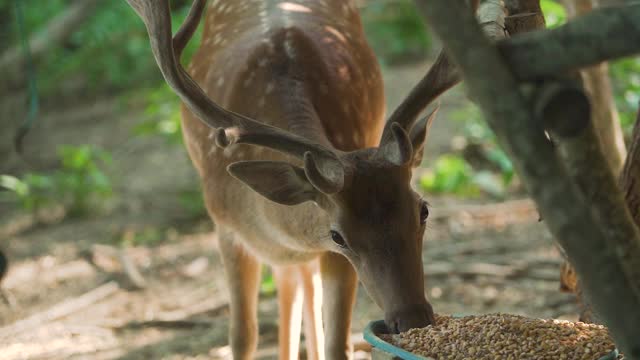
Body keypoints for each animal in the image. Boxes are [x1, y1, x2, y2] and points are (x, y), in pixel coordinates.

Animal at [125, 1, 464, 358]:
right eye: (338, 234)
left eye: (423, 210)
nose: (413, 317)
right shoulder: (227, 230)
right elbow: (242, 335)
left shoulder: (330, 255)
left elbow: (337, 343)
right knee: (289, 280)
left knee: (298, 281)